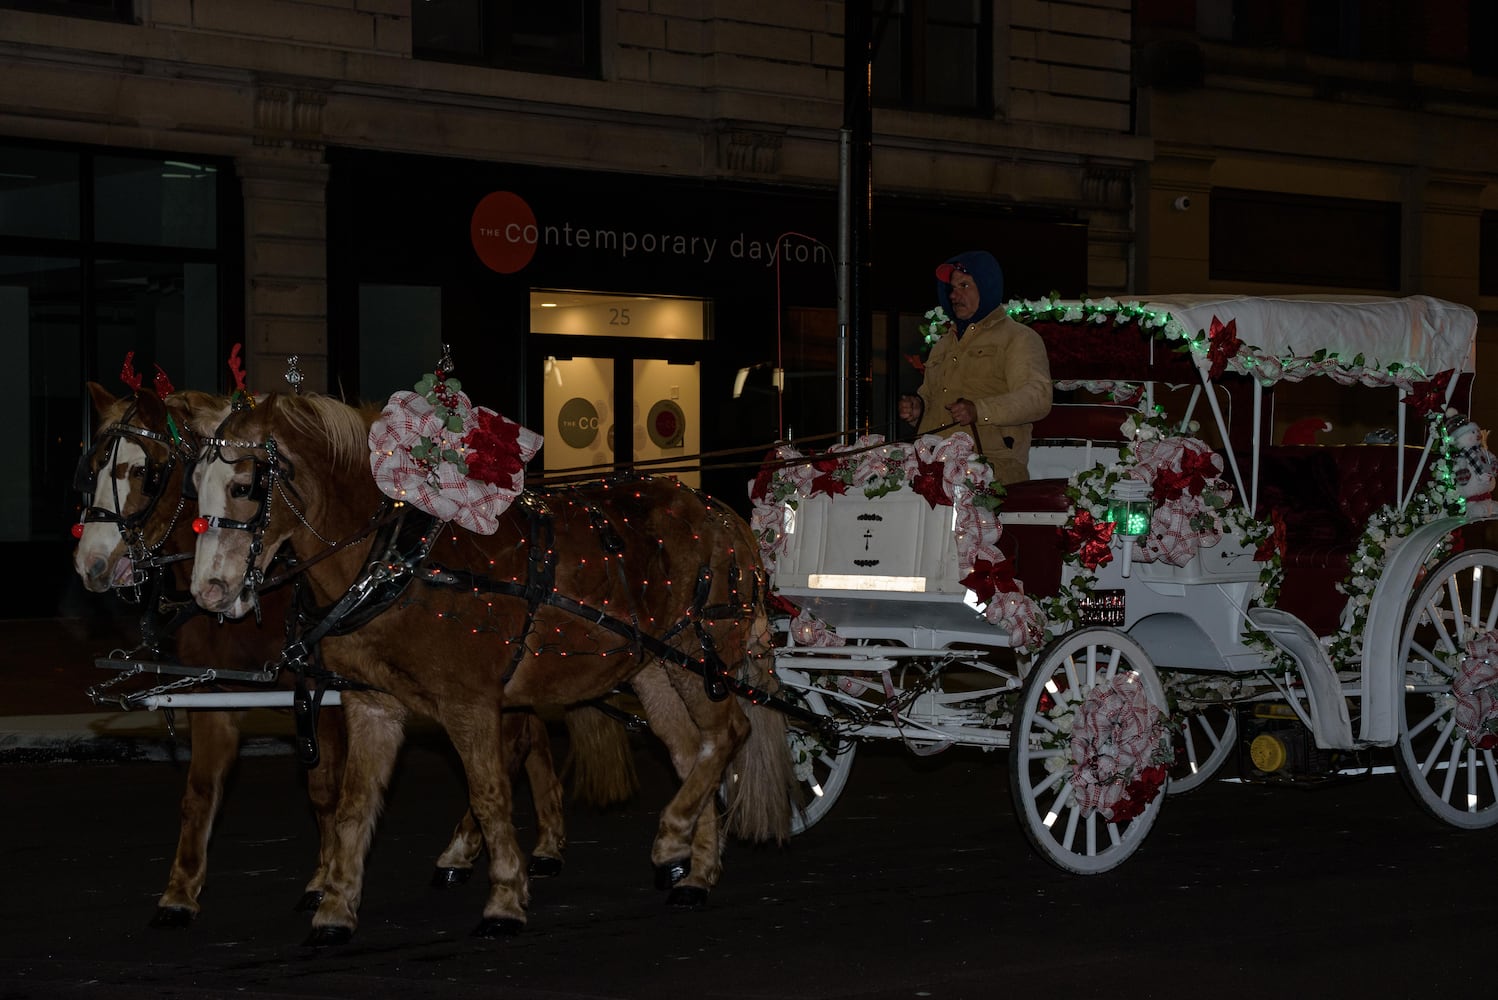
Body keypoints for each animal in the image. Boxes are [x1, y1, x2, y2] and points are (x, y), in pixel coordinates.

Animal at [70, 386, 626, 928]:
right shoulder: (215, 694)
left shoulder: (325, 693)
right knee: (529, 739)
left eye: (146, 473)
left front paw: (323, 881)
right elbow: (200, 792)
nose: (89, 566)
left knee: (515, 746)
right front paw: (180, 893)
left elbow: (325, 791)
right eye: (92, 469)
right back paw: (527, 844)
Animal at [185, 395, 790, 940]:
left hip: (700, 656)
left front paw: (504, 899)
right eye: (195, 484)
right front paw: (335, 907)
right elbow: (355, 803)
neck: (396, 559)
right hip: (655, 668)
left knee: (727, 735)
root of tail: (718, 512)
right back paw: (696, 870)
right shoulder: (371, 704)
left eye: (244, 487)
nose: (208, 592)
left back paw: (672, 839)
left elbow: (490, 794)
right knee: (694, 752)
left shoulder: (469, 703)